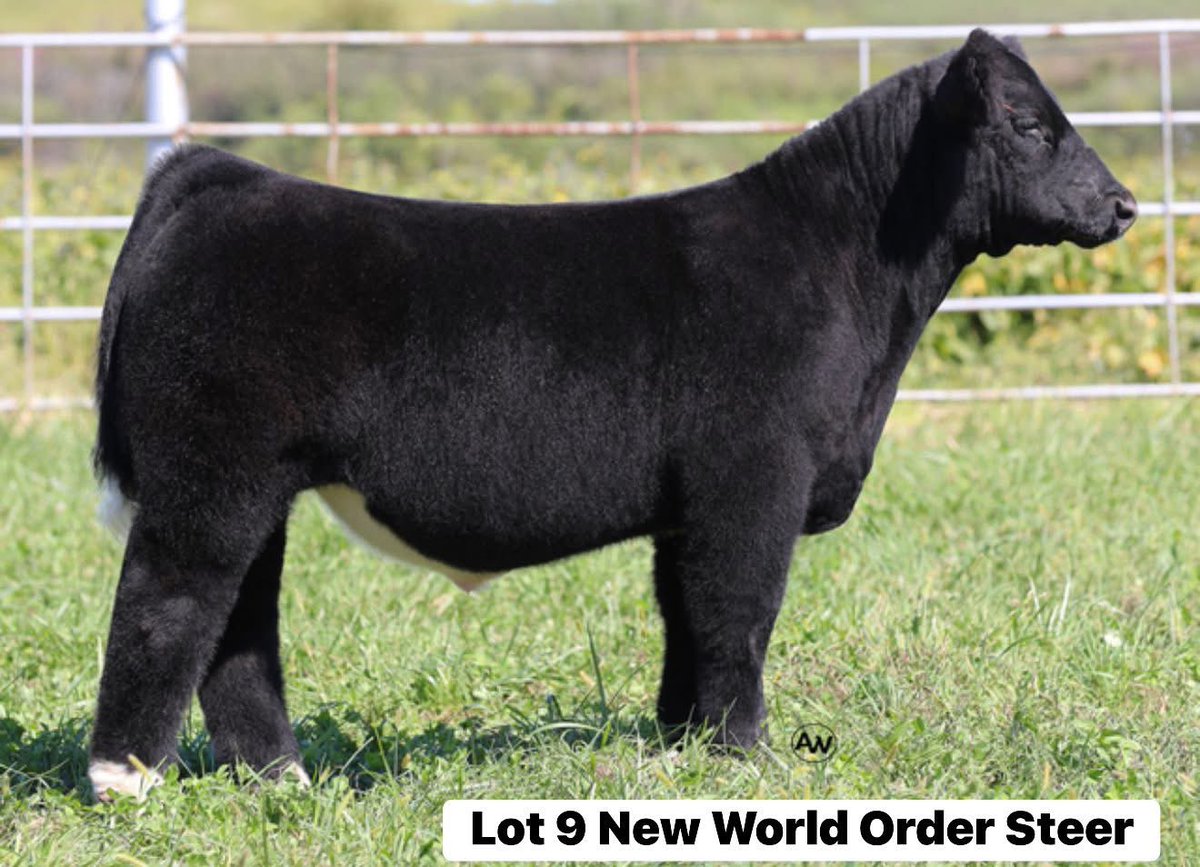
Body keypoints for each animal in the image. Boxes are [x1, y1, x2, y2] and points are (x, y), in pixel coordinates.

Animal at [87, 29, 1136, 800]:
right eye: (1029, 125)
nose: (1124, 203)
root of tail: (221, 177)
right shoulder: (752, 481)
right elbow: (739, 612)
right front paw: (746, 754)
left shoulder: (689, 505)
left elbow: (686, 615)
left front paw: (685, 745)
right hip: (209, 480)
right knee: (167, 603)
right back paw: (125, 782)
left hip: (258, 489)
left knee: (237, 628)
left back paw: (281, 779)